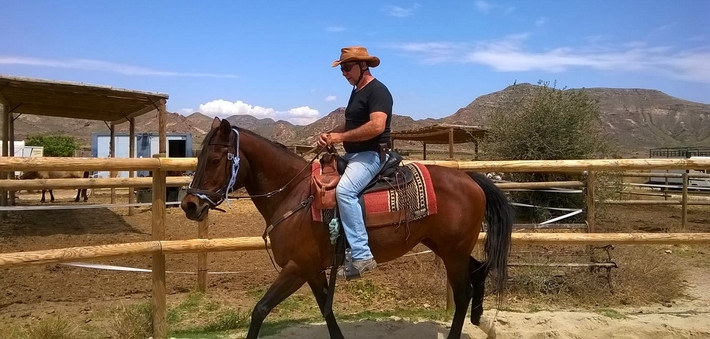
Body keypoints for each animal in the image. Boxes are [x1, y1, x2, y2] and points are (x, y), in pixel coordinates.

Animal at [178, 118, 512, 338]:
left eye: (216, 159)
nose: (189, 205)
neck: (294, 194)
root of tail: (470, 179)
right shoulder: (311, 269)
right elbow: (326, 310)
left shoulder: (296, 267)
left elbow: (260, 309)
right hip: (445, 246)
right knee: (479, 270)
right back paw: (482, 321)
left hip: (453, 251)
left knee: (463, 292)